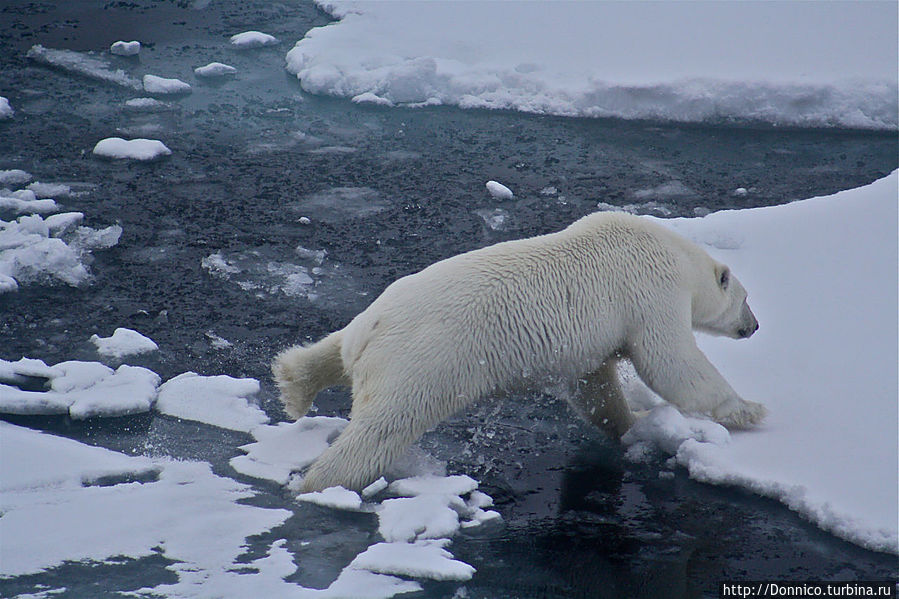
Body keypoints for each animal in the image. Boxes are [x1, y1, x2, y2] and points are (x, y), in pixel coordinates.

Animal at [274, 212, 768, 492]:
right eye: (746, 299)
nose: (755, 326)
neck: (675, 254)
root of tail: (370, 331)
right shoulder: (650, 289)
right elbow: (671, 363)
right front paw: (750, 410)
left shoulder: (590, 345)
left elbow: (595, 389)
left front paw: (637, 421)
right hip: (420, 361)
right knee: (381, 429)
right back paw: (318, 485)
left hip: (374, 330)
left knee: (331, 351)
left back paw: (293, 383)